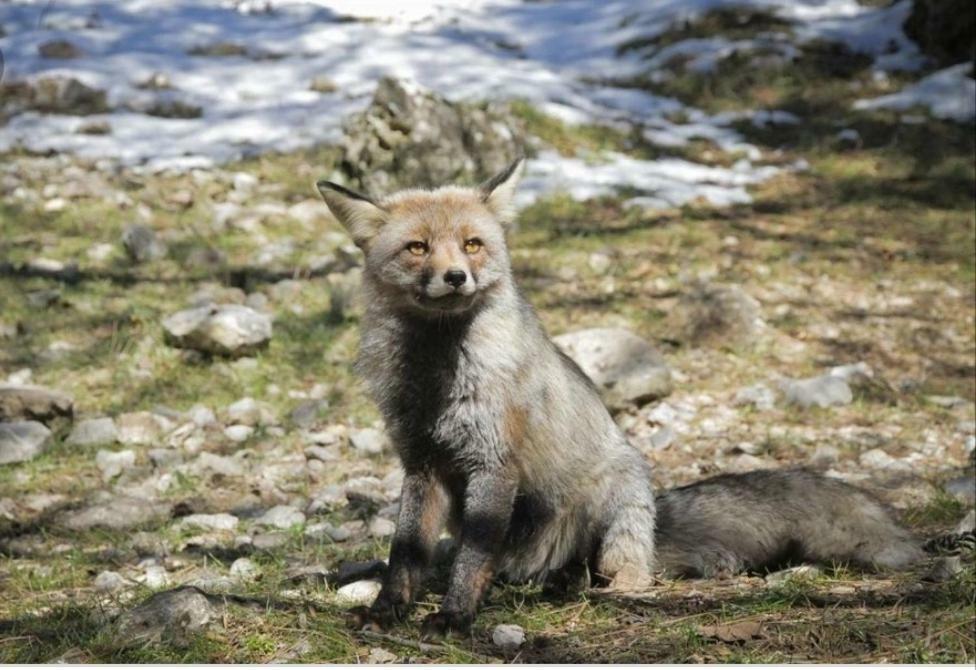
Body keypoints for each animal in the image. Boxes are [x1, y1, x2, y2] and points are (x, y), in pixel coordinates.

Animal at [318, 159, 952, 640]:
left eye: (472, 244)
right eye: (418, 247)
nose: (455, 277)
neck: (438, 376)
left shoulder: (493, 464)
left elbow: (473, 556)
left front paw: (453, 618)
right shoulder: (422, 463)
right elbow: (405, 552)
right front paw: (387, 611)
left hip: (612, 502)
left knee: (616, 576)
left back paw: (575, 586)